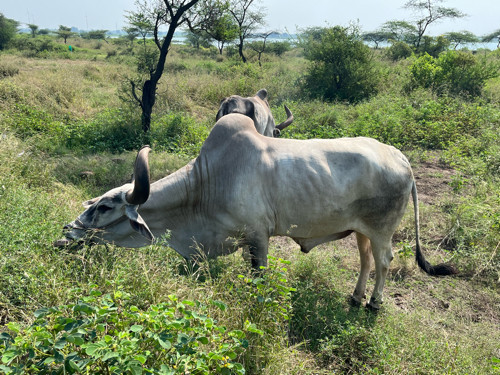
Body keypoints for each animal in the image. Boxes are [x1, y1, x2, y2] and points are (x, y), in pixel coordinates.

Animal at [56, 113, 456, 310]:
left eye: (104, 206)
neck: (206, 185)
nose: (65, 235)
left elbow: (258, 278)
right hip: (360, 231)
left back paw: (373, 302)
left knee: (385, 261)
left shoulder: (257, 237)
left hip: (382, 230)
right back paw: (356, 297)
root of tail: (401, 158)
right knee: (366, 261)